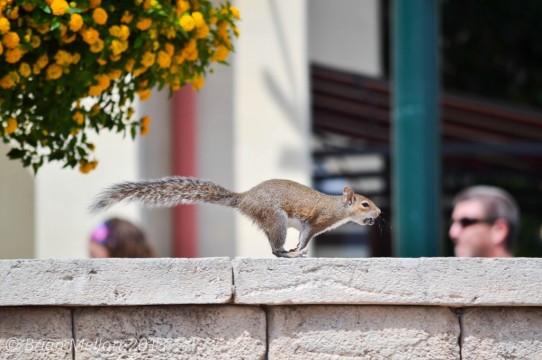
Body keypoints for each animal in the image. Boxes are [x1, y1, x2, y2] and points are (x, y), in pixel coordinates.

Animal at [90, 176, 382, 256]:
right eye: (365, 204)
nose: (379, 212)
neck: (338, 208)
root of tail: (245, 199)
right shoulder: (315, 221)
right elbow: (306, 236)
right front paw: (299, 250)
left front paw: (298, 249)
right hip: (276, 219)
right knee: (275, 249)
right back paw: (286, 253)